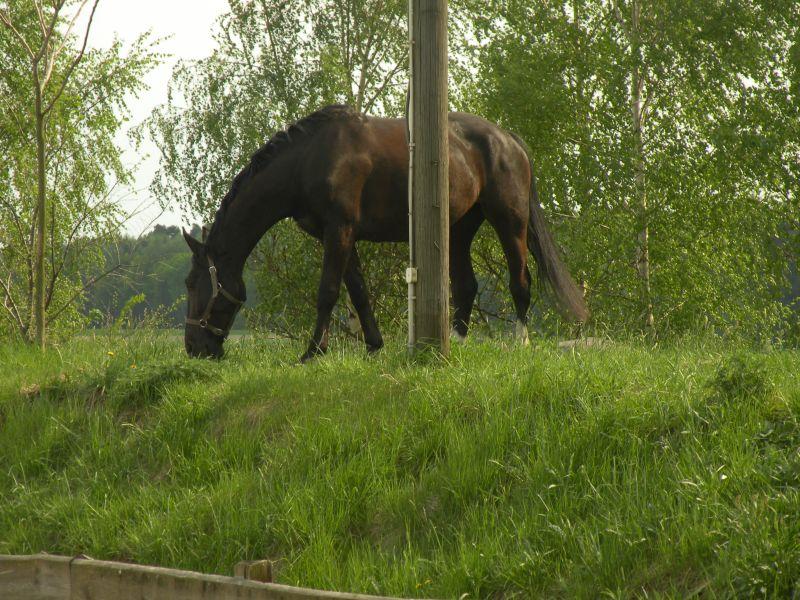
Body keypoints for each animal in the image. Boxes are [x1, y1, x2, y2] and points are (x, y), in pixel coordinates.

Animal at [186, 104, 588, 360]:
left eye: (194, 284)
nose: (194, 348)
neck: (309, 160)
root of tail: (507, 139)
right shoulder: (342, 235)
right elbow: (359, 292)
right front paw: (373, 346)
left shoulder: (339, 230)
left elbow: (327, 291)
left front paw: (313, 352)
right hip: (460, 229)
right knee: (466, 286)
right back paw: (456, 344)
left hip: (510, 221)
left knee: (520, 281)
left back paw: (521, 344)